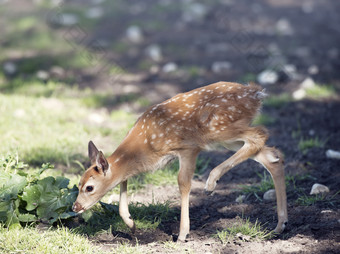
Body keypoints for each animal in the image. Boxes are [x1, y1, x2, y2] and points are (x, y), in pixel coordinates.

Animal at [72, 82, 286, 242]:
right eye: (78, 184)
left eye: (89, 187)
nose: (75, 207)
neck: (144, 146)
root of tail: (256, 93)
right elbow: (123, 180)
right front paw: (131, 224)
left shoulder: (188, 148)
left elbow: (183, 183)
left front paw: (183, 234)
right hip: (227, 137)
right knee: (271, 156)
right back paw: (280, 225)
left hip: (218, 128)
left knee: (259, 135)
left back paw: (211, 183)